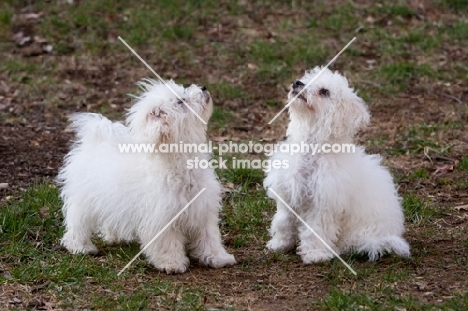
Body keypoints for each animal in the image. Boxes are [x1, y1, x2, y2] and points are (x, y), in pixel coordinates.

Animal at [56, 79, 236, 274]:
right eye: (180, 101)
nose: (202, 88)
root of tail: (94, 143)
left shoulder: (203, 210)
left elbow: (209, 238)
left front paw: (219, 258)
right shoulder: (162, 217)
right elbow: (167, 243)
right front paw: (171, 263)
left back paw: (114, 237)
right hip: (83, 202)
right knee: (77, 224)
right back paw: (81, 247)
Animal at [266, 67, 412, 264]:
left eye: (324, 92)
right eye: (307, 78)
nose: (297, 83)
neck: (312, 149)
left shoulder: (323, 205)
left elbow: (316, 231)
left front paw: (315, 254)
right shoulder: (288, 196)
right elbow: (283, 222)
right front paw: (280, 244)